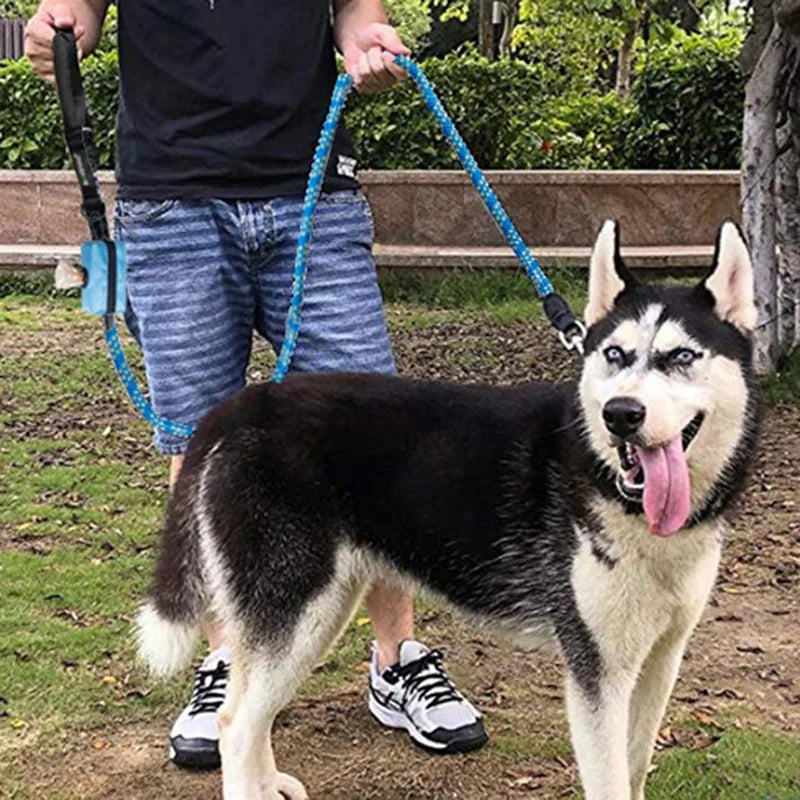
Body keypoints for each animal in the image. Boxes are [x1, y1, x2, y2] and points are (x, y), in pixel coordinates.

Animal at [139, 220, 764, 800]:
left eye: (681, 356)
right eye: (615, 355)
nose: (621, 414)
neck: (615, 491)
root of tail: (246, 402)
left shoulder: (660, 660)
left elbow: (634, 770)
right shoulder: (598, 673)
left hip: (319, 613)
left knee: (252, 712)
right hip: (296, 609)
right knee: (234, 724)